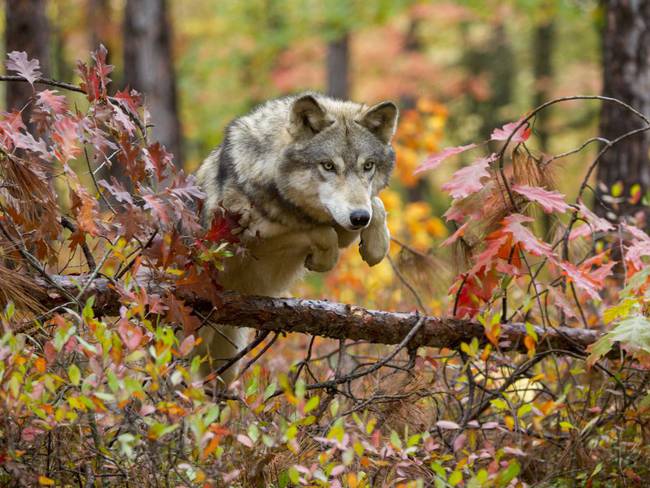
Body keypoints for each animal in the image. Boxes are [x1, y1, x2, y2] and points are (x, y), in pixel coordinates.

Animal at [194, 90, 394, 382]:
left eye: (368, 166)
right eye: (328, 166)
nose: (358, 218)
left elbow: (376, 205)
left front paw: (376, 246)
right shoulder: (247, 242)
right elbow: (320, 233)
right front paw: (322, 259)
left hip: (226, 358)